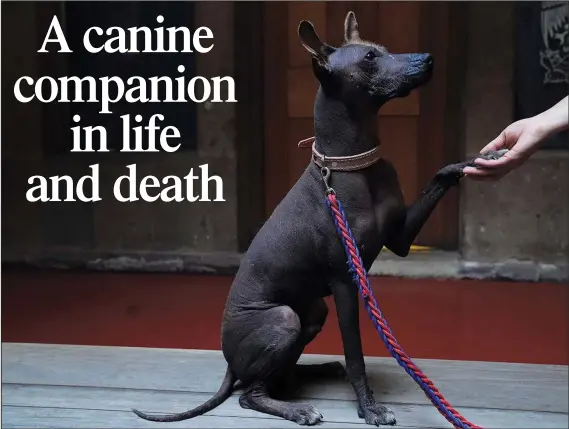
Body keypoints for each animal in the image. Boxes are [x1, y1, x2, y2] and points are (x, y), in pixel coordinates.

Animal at [134, 11, 506, 426]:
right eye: (369, 58)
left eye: (383, 49)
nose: (427, 59)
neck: (353, 165)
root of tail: (230, 362)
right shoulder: (346, 282)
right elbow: (356, 353)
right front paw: (369, 408)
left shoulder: (399, 240)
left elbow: (440, 176)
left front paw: (481, 158)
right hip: (285, 319)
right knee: (250, 394)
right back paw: (297, 409)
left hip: (313, 310)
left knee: (281, 375)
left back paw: (320, 370)